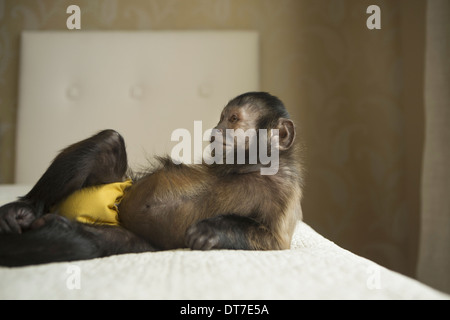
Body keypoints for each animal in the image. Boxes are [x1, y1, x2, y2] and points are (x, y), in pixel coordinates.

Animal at [0, 91, 304, 266]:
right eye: (221, 119)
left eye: (233, 119)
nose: (215, 132)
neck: (250, 168)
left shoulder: (286, 193)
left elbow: (275, 241)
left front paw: (213, 230)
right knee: (109, 140)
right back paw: (25, 209)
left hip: (133, 235)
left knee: (87, 243)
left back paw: (54, 225)